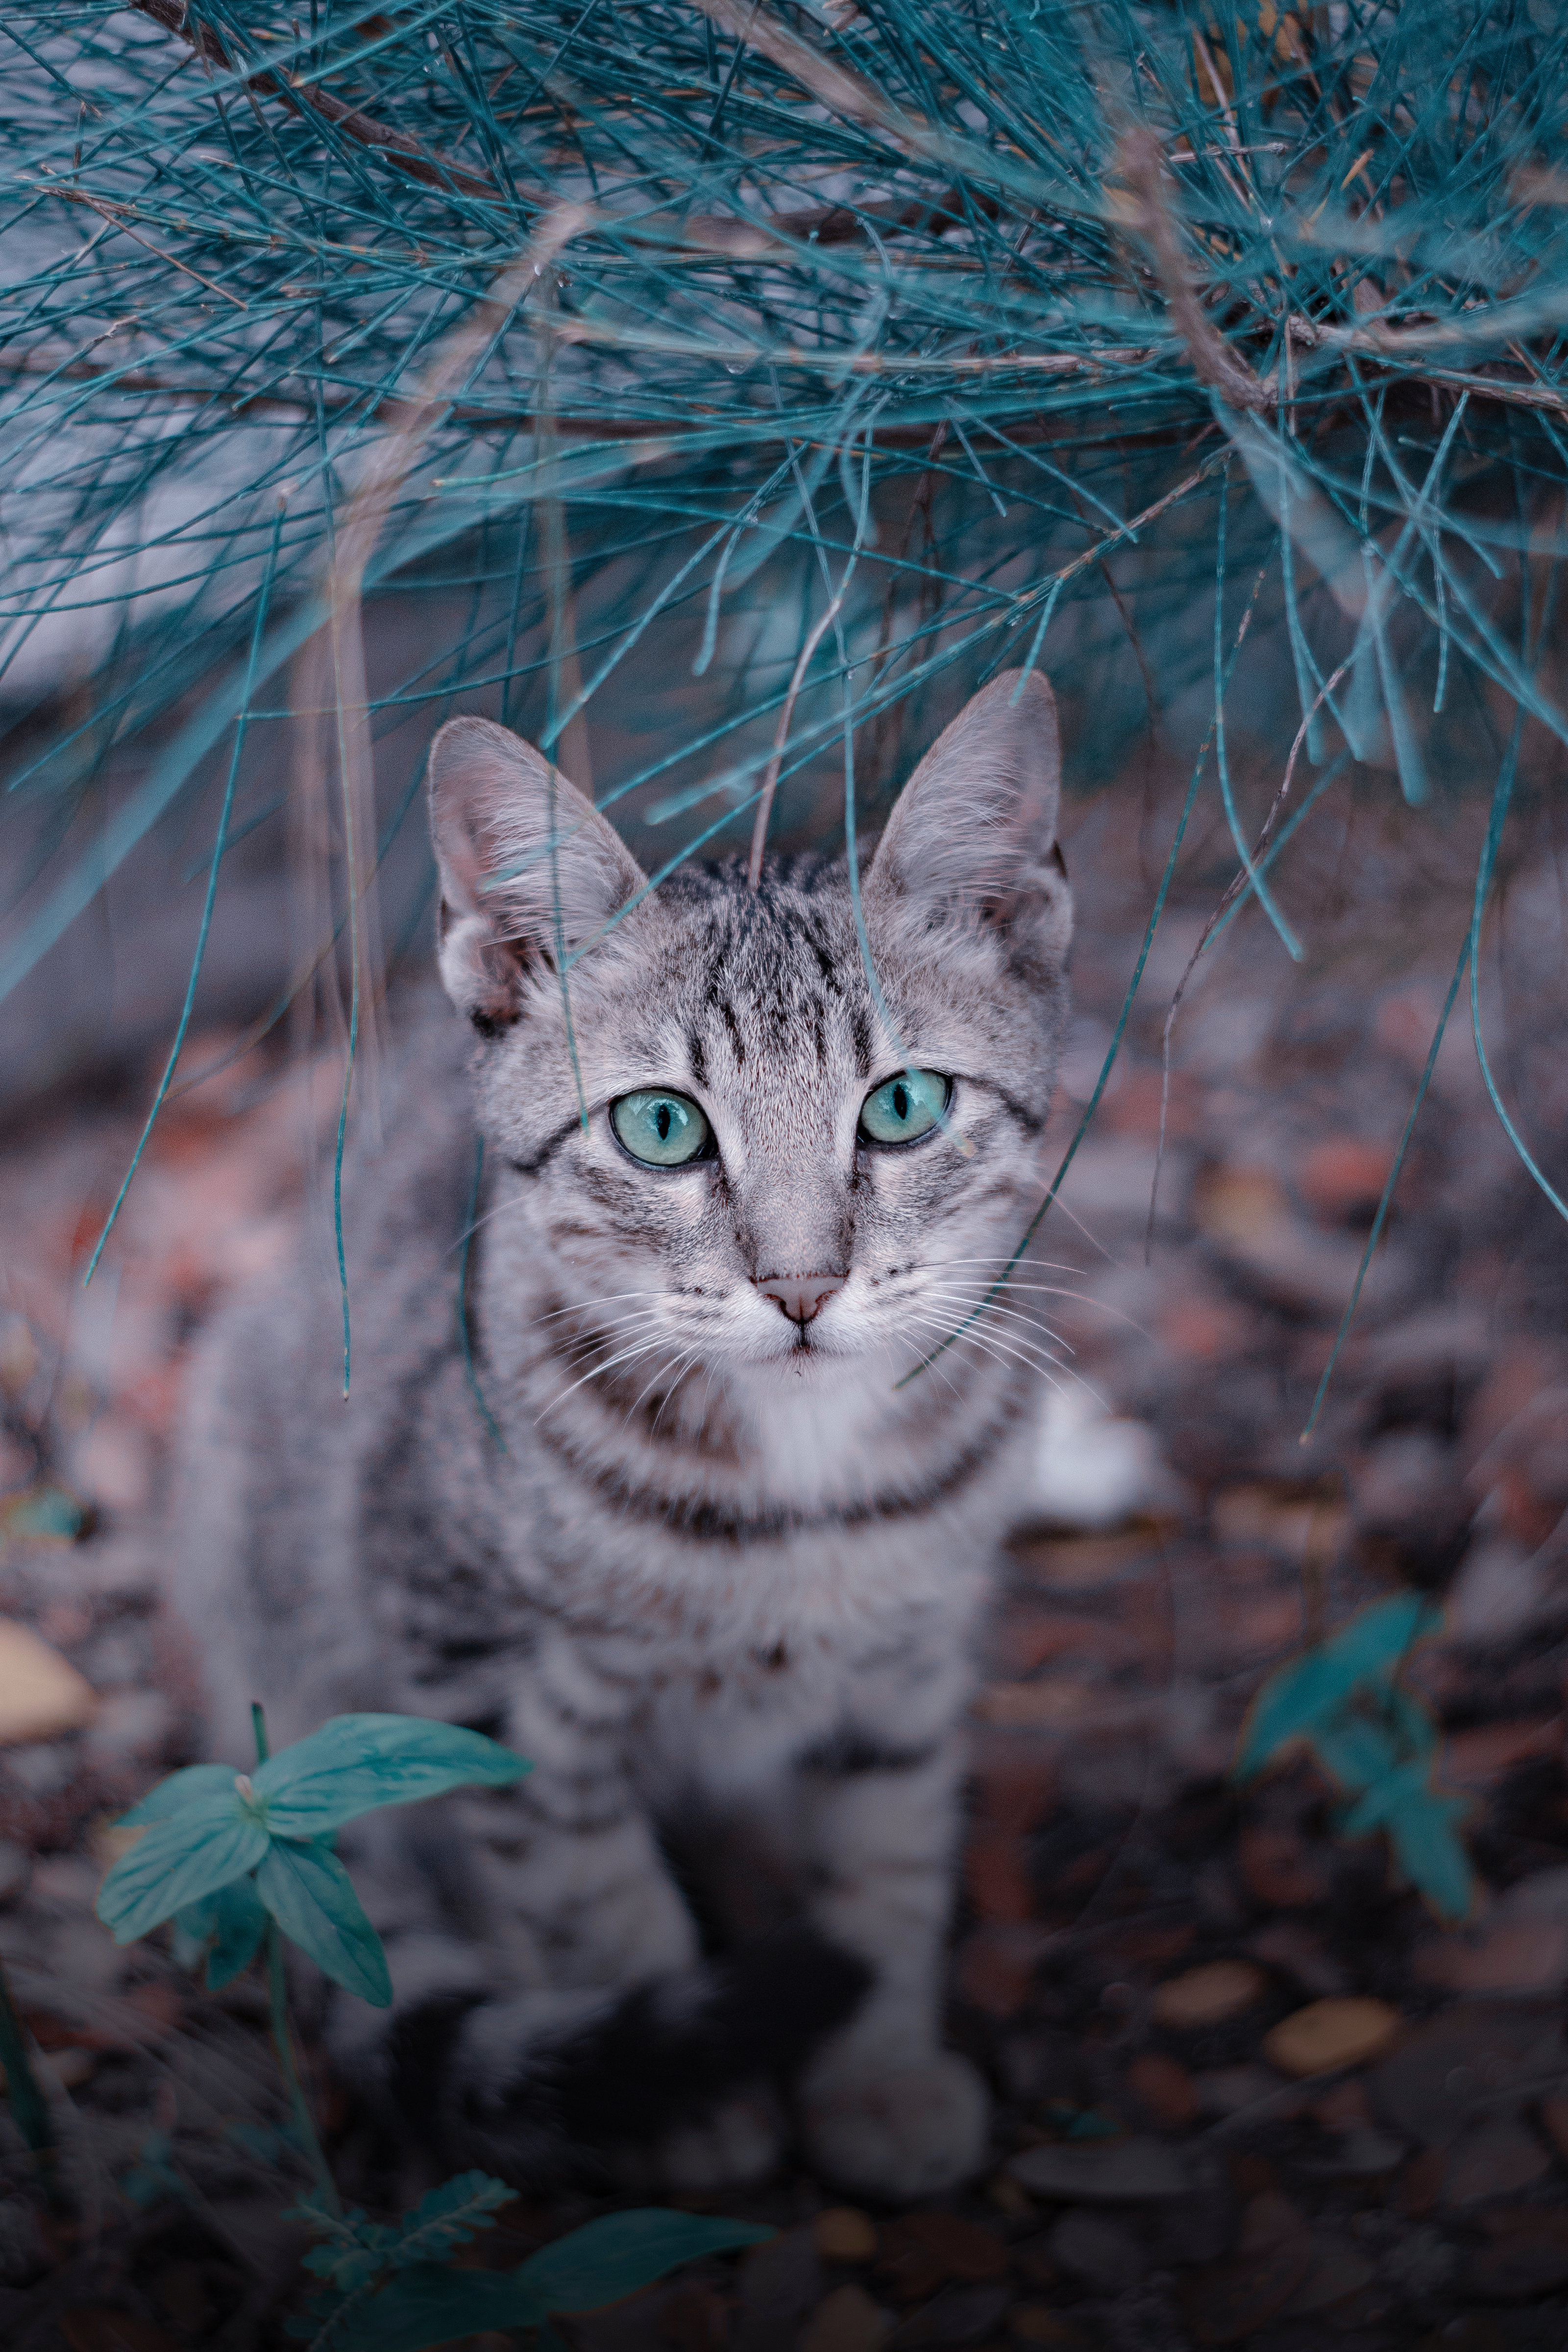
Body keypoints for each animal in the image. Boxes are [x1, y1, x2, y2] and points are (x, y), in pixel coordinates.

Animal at [175, 668, 1081, 2201]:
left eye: (903, 1106)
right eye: (662, 1126)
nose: (801, 1284)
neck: (798, 1477)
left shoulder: (909, 1662)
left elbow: (887, 1862)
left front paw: (876, 2069)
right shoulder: (488, 1684)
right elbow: (592, 1892)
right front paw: (689, 2109)